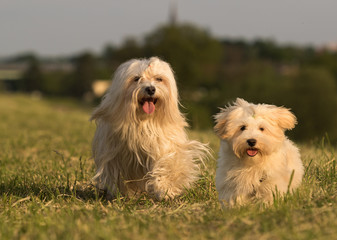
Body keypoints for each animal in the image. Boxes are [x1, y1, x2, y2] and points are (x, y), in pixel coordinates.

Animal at [90, 57, 209, 200]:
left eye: (159, 79)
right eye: (136, 78)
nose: (151, 89)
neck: (143, 121)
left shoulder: (166, 146)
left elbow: (168, 165)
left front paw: (166, 190)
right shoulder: (114, 153)